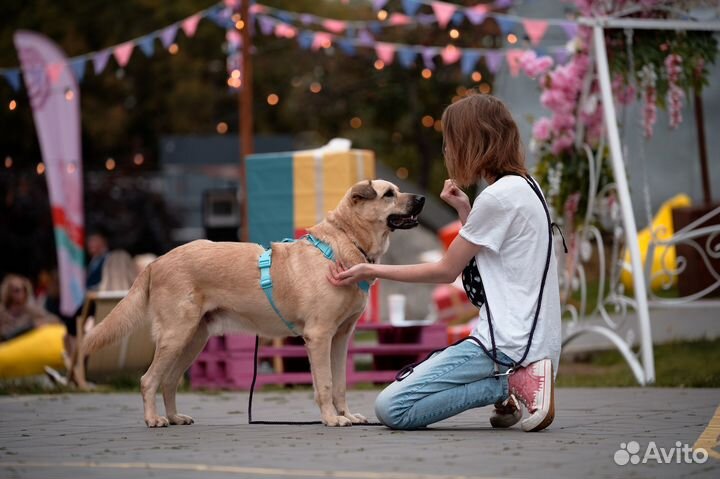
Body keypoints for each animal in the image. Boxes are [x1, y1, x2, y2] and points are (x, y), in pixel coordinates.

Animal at [76, 179, 424, 428]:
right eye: (389, 193)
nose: (420, 198)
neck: (345, 242)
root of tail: (156, 261)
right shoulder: (319, 336)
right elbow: (325, 384)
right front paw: (331, 419)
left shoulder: (340, 338)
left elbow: (339, 384)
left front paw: (346, 415)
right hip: (176, 335)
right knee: (149, 380)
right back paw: (154, 419)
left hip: (193, 339)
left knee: (169, 381)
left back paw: (175, 417)